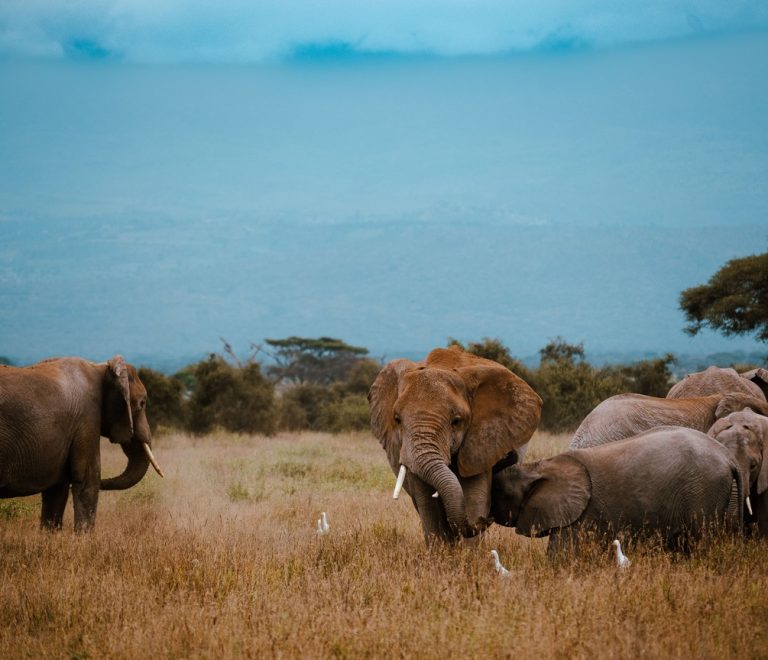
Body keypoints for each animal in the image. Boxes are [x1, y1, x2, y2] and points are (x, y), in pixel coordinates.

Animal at [368, 346, 542, 545]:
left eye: (456, 421)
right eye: (397, 419)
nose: (509, 455)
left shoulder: (479, 446)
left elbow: (473, 500)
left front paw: (468, 552)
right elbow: (428, 505)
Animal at [491, 427, 744, 557]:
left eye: (500, 491)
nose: (508, 451)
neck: (539, 466)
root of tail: (729, 458)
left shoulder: (579, 517)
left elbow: (561, 557)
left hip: (702, 492)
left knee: (701, 541)